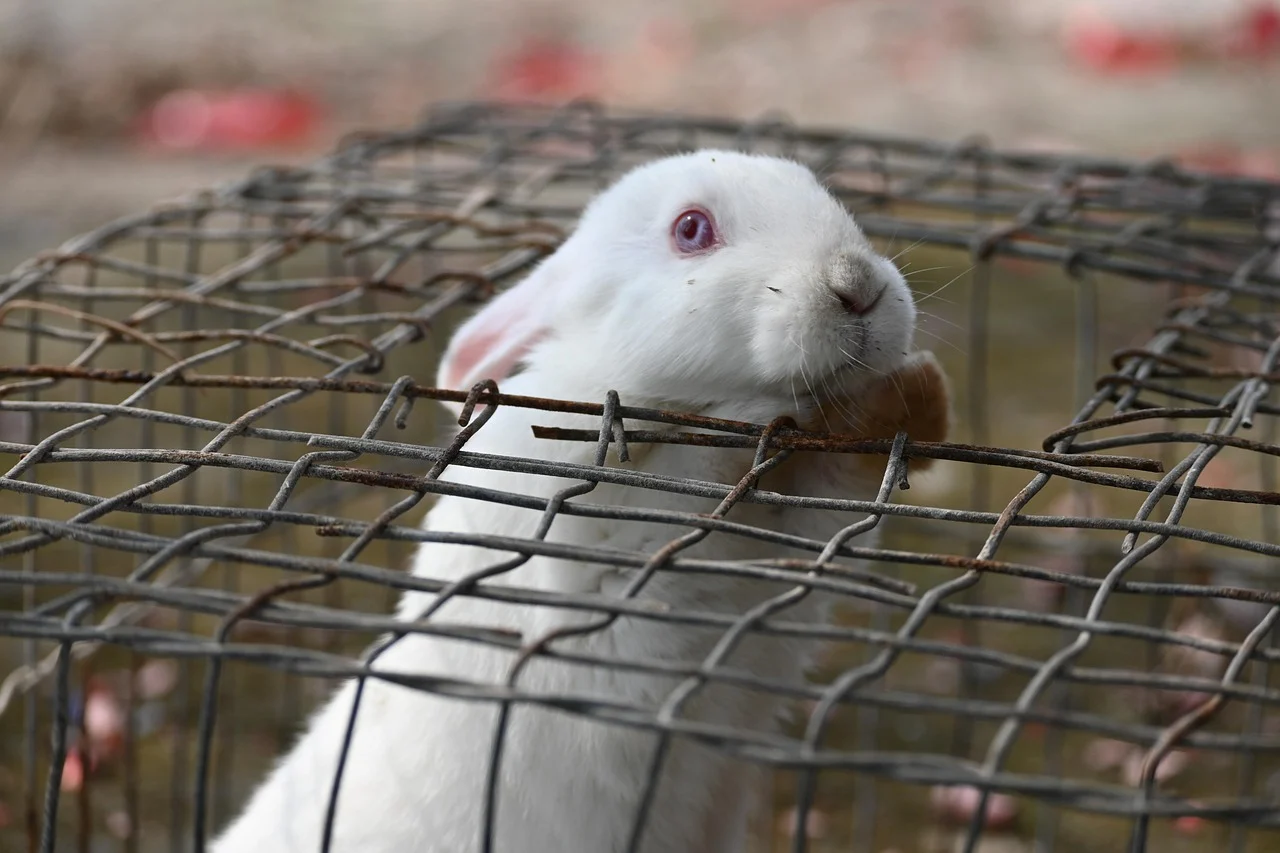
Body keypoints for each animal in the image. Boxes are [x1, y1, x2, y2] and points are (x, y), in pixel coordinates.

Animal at [210, 149, 952, 853]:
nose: (858, 287)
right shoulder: (611, 589)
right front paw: (756, 415)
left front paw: (921, 390)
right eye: (691, 229)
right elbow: (702, 473)